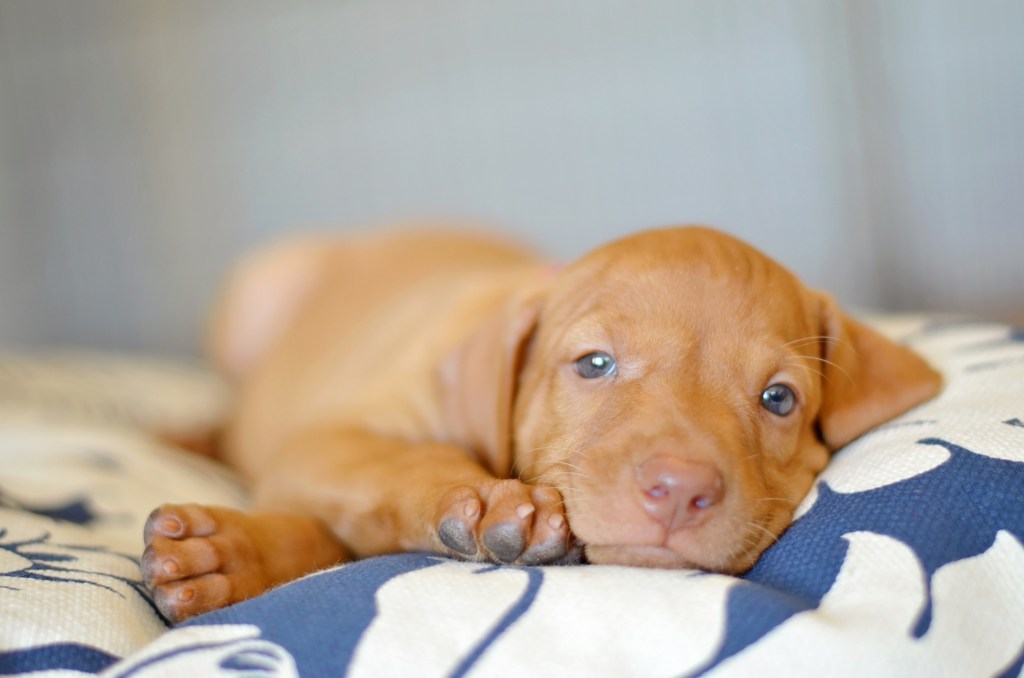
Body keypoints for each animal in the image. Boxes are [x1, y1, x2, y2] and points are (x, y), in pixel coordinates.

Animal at [144, 227, 942, 622]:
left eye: (779, 400)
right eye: (594, 364)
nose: (679, 492)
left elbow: (336, 532)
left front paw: (229, 556)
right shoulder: (328, 441)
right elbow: (394, 466)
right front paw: (491, 503)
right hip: (259, 291)